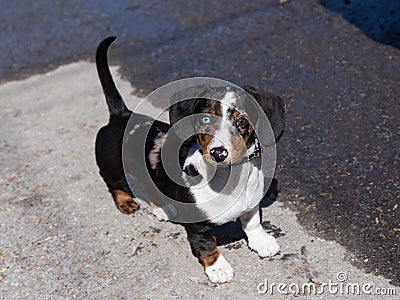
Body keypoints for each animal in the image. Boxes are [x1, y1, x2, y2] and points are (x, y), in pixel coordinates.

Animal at [95, 37, 286, 284]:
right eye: (205, 119)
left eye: (242, 121)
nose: (218, 153)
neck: (226, 179)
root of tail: (121, 115)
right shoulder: (197, 227)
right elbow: (206, 245)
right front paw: (218, 268)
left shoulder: (251, 204)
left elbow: (252, 222)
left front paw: (261, 241)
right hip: (112, 168)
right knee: (113, 184)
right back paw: (126, 201)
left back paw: (163, 208)